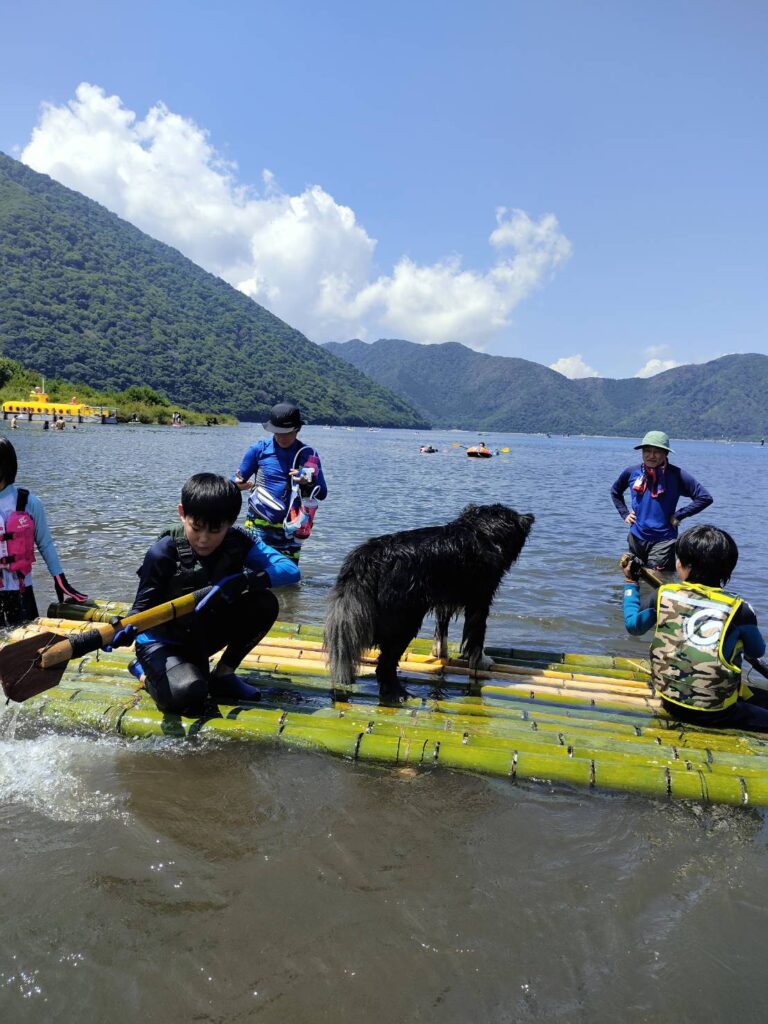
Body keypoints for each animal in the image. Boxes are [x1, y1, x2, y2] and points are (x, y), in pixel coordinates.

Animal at [325, 505, 536, 704]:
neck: (480, 531)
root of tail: (367, 557)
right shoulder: (480, 600)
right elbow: (477, 637)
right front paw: (481, 662)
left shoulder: (444, 598)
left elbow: (442, 630)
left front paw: (441, 654)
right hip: (405, 620)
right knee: (385, 663)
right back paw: (399, 694)